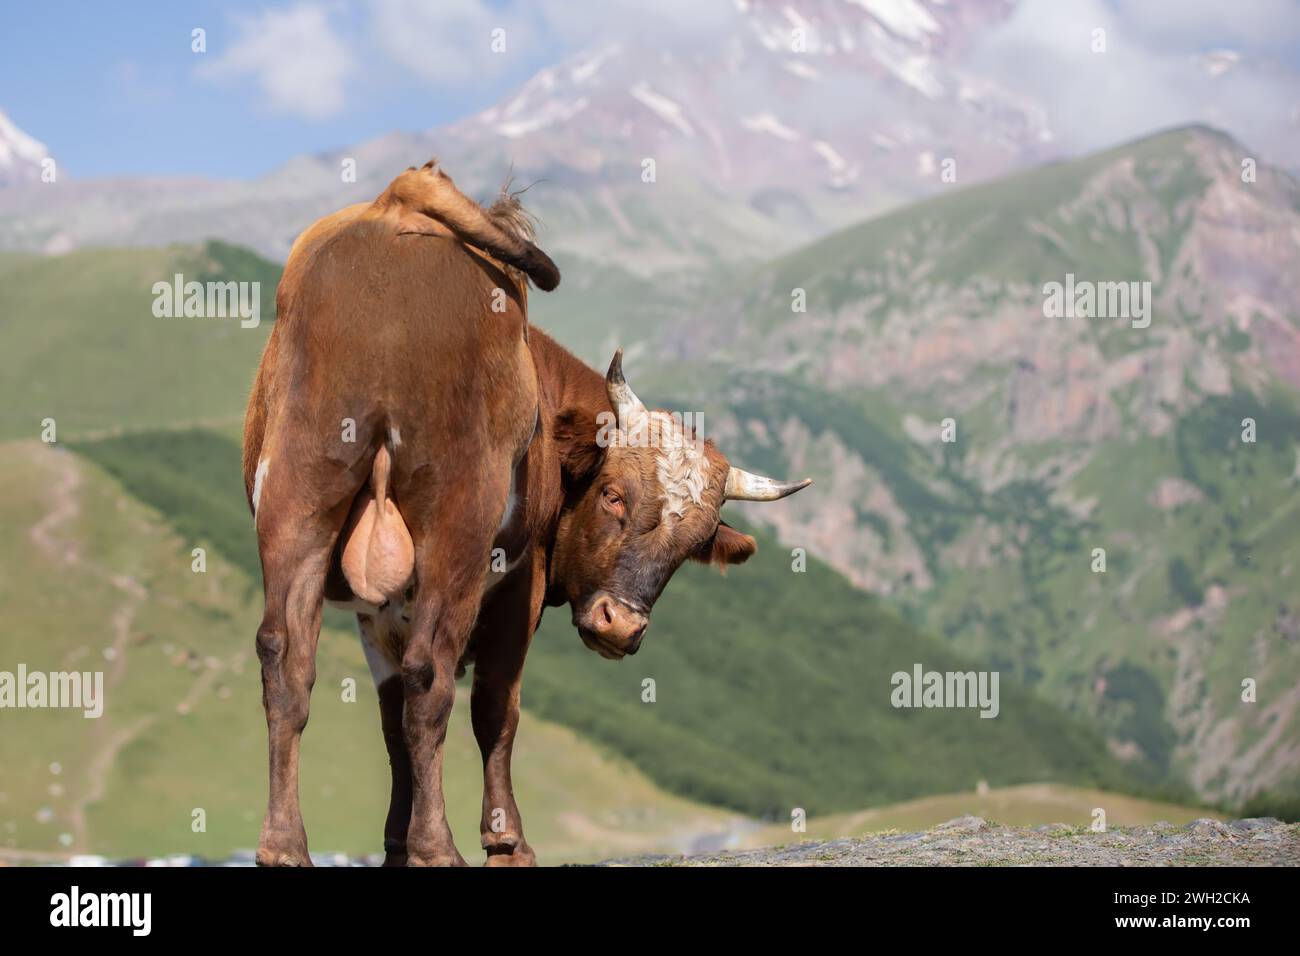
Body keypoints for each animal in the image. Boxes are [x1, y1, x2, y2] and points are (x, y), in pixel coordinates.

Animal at [244, 158, 806, 868]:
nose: (622, 626)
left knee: (286, 661)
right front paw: (503, 839)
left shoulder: (379, 610)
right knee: (432, 678)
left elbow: (391, 719)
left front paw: (396, 843)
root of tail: (400, 204)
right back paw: (439, 848)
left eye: (692, 543)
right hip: (456, 527)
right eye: (613, 495)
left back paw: (284, 844)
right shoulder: (520, 581)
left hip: (298, 502)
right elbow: (494, 708)